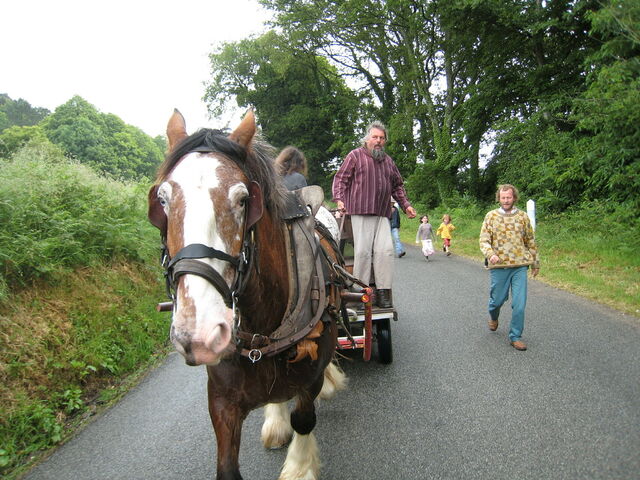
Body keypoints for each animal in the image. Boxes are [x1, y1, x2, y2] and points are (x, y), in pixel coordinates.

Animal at [147, 110, 351, 480]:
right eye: (162, 200)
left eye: (244, 200)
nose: (198, 333)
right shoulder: (221, 397)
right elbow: (227, 465)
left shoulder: (309, 376)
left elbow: (304, 418)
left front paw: (299, 468)